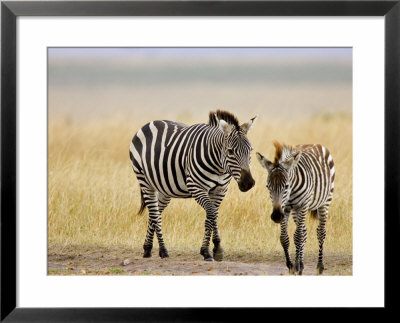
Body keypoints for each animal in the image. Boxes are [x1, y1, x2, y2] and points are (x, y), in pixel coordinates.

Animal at [130, 110, 258, 262]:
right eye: (230, 151)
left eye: (250, 150)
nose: (248, 183)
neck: (219, 167)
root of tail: (151, 122)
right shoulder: (196, 187)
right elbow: (211, 213)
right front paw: (209, 251)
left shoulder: (220, 190)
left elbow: (213, 216)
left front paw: (214, 249)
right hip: (144, 181)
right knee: (155, 215)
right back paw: (163, 250)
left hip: (164, 188)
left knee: (154, 213)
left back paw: (148, 248)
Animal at [256, 142, 334, 276]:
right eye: (268, 186)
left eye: (286, 186)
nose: (276, 216)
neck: (291, 192)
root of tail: (314, 144)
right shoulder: (285, 208)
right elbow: (285, 238)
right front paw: (291, 265)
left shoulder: (302, 205)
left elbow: (298, 236)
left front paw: (297, 266)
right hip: (295, 211)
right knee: (304, 231)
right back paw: (301, 264)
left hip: (325, 201)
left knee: (320, 232)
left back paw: (319, 266)